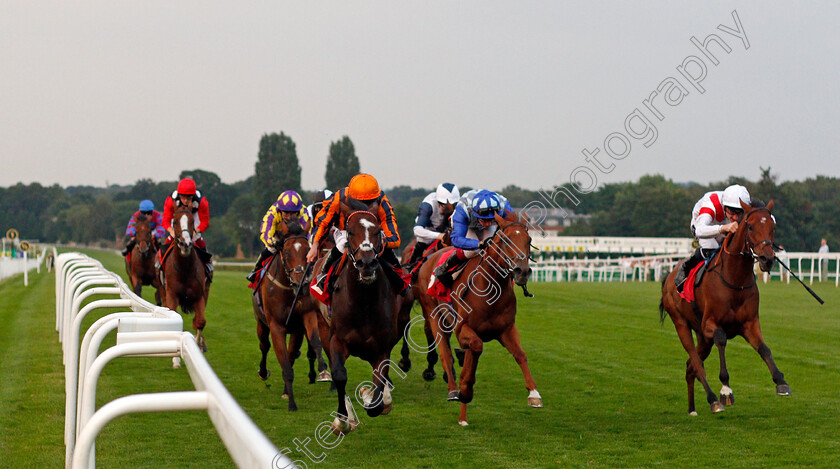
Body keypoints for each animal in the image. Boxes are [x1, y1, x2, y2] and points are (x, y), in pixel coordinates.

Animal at [162, 205, 210, 352]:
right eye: (175, 221)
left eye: (192, 221)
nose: (186, 244)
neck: (184, 270)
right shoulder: (171, 295)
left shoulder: (199, 296)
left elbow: (200, 321)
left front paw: (198, 345)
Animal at [253, 222, 328, 410]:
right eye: (286, 252)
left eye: (308, 250)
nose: (299, 283)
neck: (288, 290)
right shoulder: (276, 326)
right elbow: (285, 363)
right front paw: (292, 403)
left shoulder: (305, 317)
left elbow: (314, 342)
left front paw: (323, 370)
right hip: (261, 323)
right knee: (264, 346)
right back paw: (263, 373)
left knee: (292, 353)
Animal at [324, 208, 402, 436]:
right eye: (350, 232)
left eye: (377, 231)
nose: (366, 263)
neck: (363, 303)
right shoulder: (337, 340)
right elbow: (339, 375)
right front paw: (342, 421)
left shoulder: (382, 347)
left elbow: (377, 398)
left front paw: (371, 396)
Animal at [416, 214, 544, 426]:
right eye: (506, 240)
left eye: (529, 240)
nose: (522, 271)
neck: (490, 288)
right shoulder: (463, 329)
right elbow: (475, 349)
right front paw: (465, 391)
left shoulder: (507, 328)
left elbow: (520, 354)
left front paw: (534, 394)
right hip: (434, 314)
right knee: (445, 353)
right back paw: (454, 391)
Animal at [660, 197, 792, 414]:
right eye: (750, 226)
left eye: (772, 226)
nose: (767, 259)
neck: (735, 279)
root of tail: (669, 277)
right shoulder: (710, 325)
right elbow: (722, 339)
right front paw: (726, 390)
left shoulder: (749, 324)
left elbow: (764, 349)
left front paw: (781, 382)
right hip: (681, 325)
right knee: (696, 364)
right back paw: (713, 399)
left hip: (703, 339)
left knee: (690, 366)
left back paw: (692, 409)